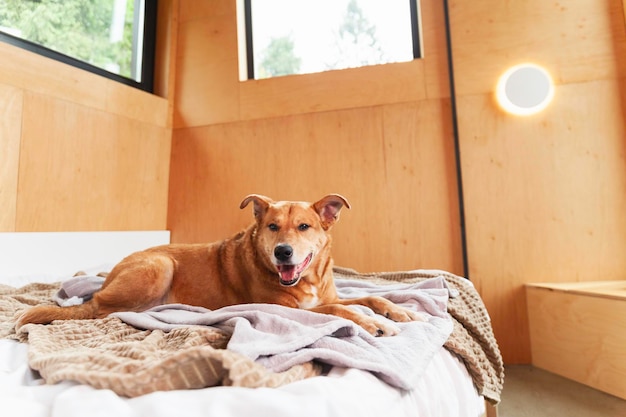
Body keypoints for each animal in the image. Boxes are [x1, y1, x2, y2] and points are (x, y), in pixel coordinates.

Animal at [18, 194, 420, 334]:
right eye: (273, 227)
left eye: (304, 227)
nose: (283, 252)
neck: (306, 280)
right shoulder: (282, 307)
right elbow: (343, 311)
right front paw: (375, 324)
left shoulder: (324, 298)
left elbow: (369, 298)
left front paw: (400, 311)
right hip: (160, 265)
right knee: (100, 311)